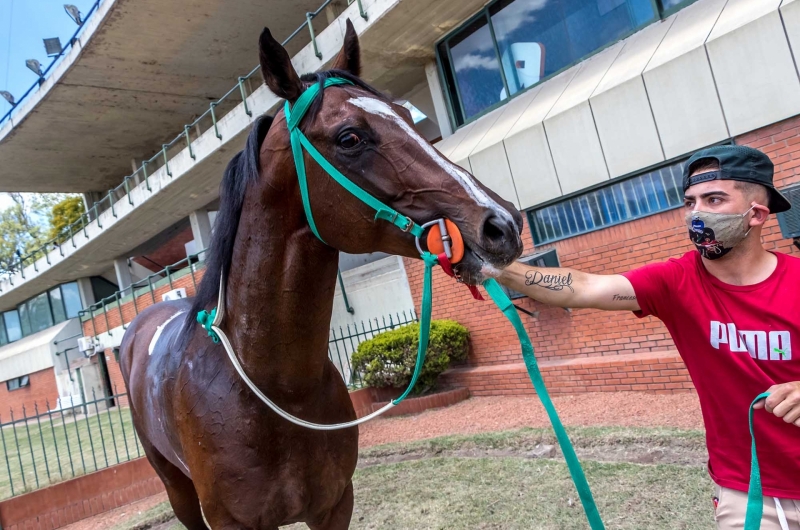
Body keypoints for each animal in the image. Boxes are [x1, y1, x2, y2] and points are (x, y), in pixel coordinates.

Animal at [117, 20, 520, 528]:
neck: (277, 390)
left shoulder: (334, 504)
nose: (502, 224)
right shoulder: (232, 521)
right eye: (349, 138)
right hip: (176, 489)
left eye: (406, 116)